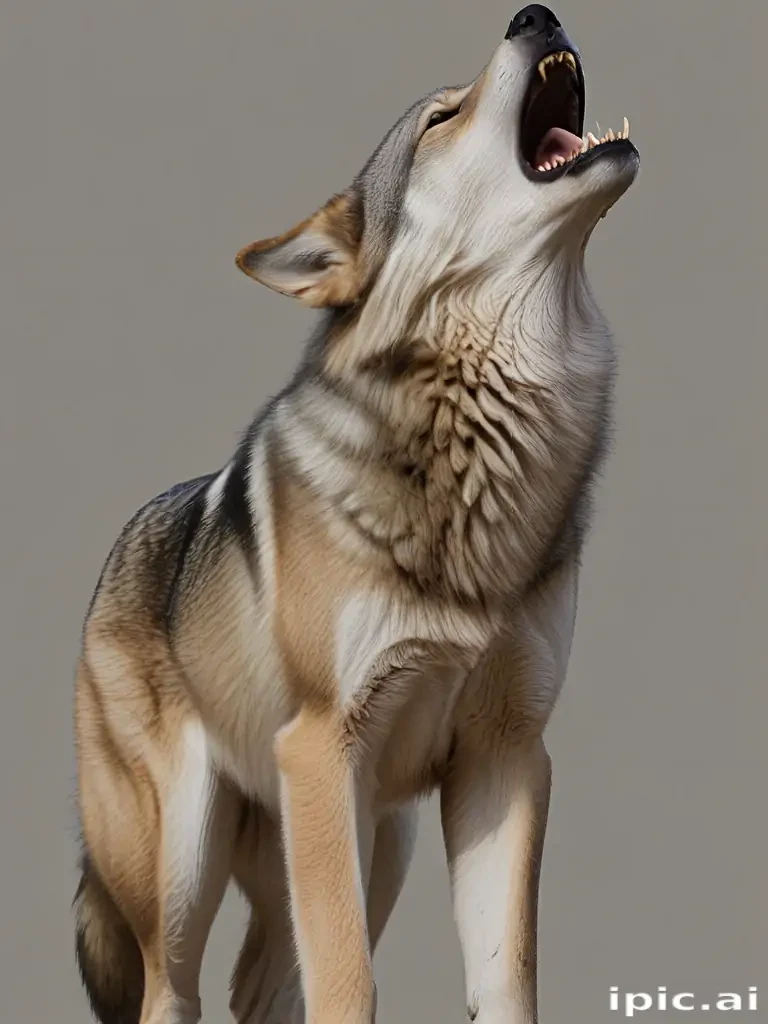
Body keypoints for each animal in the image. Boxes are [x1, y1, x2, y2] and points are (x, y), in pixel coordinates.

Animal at [72, 6, 639, 1023]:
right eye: (441, 117)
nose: (535, 15)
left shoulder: (507, 757)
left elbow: (505, 979)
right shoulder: (321, 750)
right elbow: (349, 985)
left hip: (381, 842)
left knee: (262, 991)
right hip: (187, 866)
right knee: (169, 990)